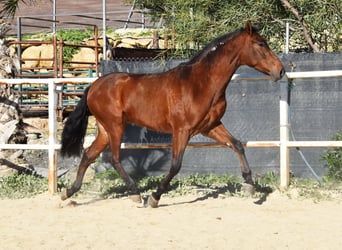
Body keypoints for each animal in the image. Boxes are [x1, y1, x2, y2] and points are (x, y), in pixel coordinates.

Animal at [60, 21, 284, 207]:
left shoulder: (210, 126)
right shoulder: (182, 130)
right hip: (115, 126)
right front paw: (154, 197)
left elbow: (237, 144)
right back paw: (136, 194)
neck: (200, 83)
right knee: (114, 159)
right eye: (261, 44)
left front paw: (249, 184)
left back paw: (69, 193)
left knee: (89, 155)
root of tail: (94, 86)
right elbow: (176, 165)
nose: (280, 71)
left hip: (105, 129)